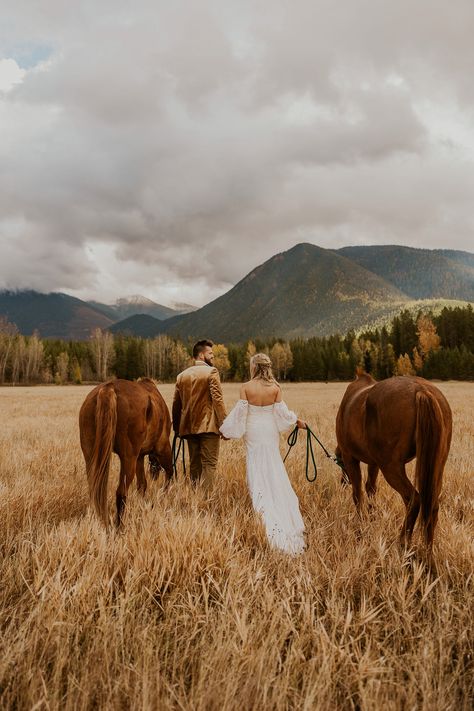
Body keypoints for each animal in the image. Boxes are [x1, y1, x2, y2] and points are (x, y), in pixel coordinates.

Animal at [79, 382, 174, 524]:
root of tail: (109, 388)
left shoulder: (139, 457)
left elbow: (142, 484)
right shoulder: (162, 448)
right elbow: (169, 473)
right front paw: (164, 497)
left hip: (91, 457)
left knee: (95, 490)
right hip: (129, 458)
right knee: (121, 492)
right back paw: (119, 525)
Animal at [336, 372, 452, 552]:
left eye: (341, 465)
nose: (343, 481)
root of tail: (422, 390)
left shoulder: (350, 458)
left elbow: (358, 494)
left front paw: (361, 524)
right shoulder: (374, 463)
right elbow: (371, 488)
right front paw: (372, 517)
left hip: (391, 467)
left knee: (414, 499)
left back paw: (403, 542)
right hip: (437, 467)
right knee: (431, 506)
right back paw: (428, 554)